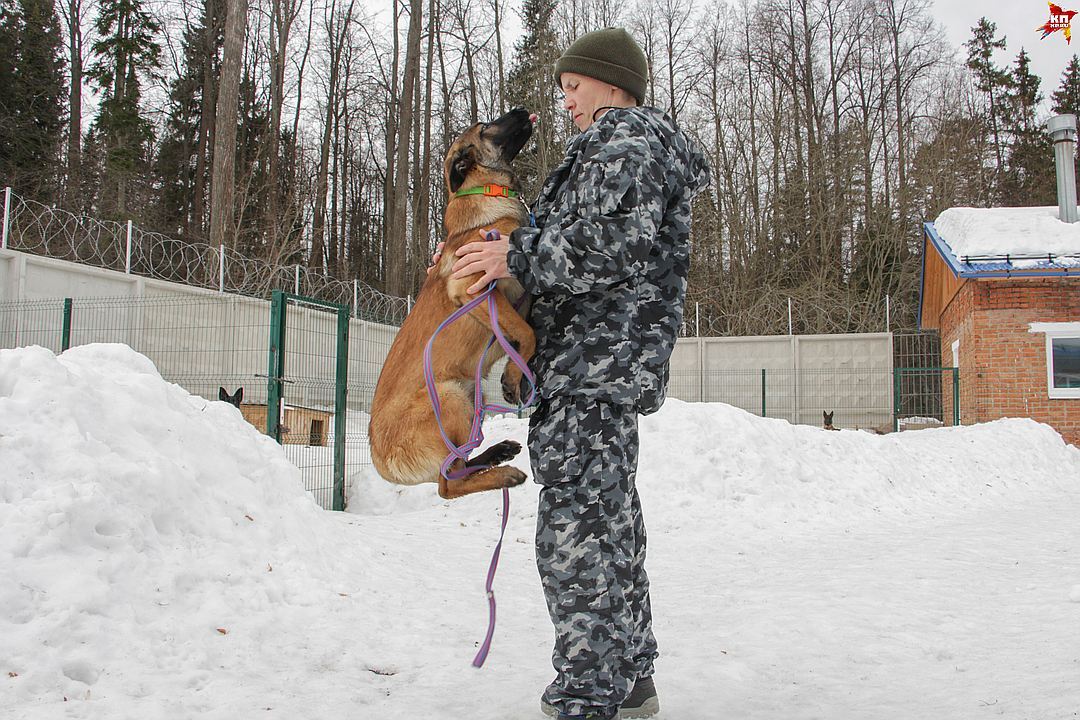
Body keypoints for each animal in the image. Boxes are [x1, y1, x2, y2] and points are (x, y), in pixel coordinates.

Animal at [369, 108, 537, 500]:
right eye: (486, 126)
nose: (522, 110)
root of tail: (378, 456)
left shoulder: (517, 295)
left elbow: (522, 331)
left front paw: (515, 375)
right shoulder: (474, 289)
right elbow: (527, 332)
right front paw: (514, 376)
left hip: (470, 395)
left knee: (457, 466)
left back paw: (497, 453)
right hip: (450, 397)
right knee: (448, 485)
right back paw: (503, 474)